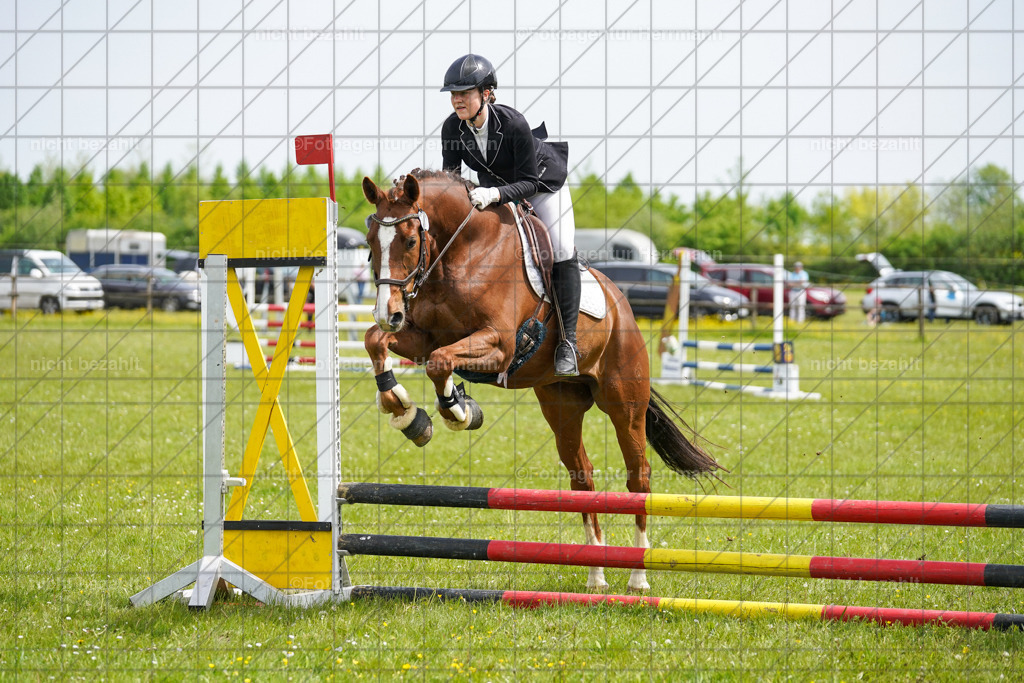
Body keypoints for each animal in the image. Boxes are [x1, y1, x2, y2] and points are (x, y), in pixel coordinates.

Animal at [361, 169, 723, 592]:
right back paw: (596, 574)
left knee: (639, 478)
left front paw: (456, 412)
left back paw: (637, 576)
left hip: (625, 406)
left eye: (410, 240)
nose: (388, 313)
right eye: (371, 241)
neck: (462, 254)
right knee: (582, 478)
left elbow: (438, 363)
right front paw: (403, 409)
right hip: (561, 405)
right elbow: (378, 341)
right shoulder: (422, 337)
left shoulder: (498, 345)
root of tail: (623, 307)